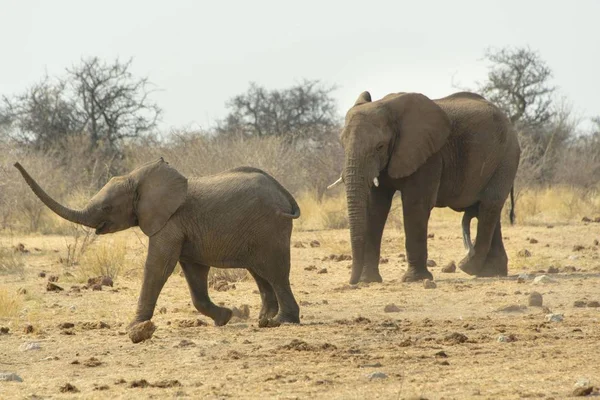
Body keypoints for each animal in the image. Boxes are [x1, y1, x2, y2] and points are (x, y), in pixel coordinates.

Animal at [14, 159, 302, 328]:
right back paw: (264, 319)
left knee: (275, 272)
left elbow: (158, 266)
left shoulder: (169, 222)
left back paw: (281, 321)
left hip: (270, 228)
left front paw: (134, 327)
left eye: (107, 207)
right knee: (261, 273)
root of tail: (284, 192)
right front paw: (225, 317)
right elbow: (194, 274)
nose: (16, 163)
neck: (137, 177)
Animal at [332, 90, 520, 284]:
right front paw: (368, 280)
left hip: (506, 157)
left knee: (489, 206)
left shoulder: (429, 157)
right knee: (488, 209)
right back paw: (490, 272)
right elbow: (375, 207)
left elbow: (416, 205)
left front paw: (413, 279)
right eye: (342, 144)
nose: (352, 282)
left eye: (380, 146)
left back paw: (467, 267)